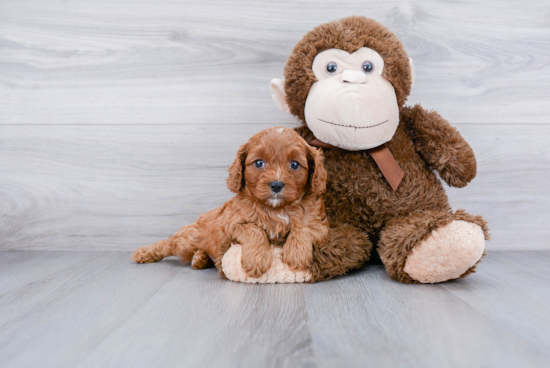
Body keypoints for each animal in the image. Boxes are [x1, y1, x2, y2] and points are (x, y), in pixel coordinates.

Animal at [132, 126, 330, 276]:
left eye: (295, 164)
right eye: (259, 163)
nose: (276, 184)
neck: (277, 209)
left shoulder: (321, 225)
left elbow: (304, 228)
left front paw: (296, 254)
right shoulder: (230, 225)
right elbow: (254, 229)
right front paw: (256, 259)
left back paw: (200, 259)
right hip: (188, 239)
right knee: (168, 244)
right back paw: (143, 252)